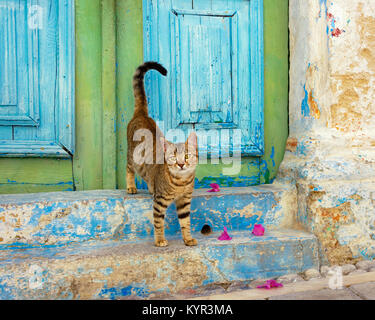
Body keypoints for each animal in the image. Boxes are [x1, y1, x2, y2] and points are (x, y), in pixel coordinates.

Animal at [127, 62, 198, 248]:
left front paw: (188, 238)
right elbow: (158, 222)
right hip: (131, 157)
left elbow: (185, 222)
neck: (181, 183)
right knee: (129, 169)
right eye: (173, 157)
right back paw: (131, 186)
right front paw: (159, 240)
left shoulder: (185, 201)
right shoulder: (159, 202)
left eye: (186, 156)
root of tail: (142, 114)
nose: (181, 164)